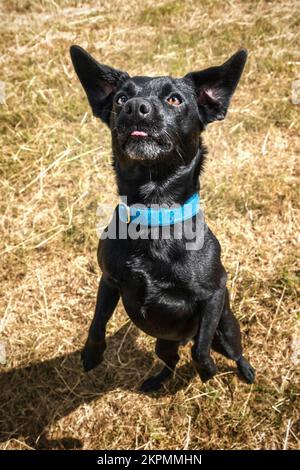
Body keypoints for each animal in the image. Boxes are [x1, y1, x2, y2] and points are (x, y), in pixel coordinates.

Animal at [70, 46, 255, 392]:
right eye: (120, 99)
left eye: (174, 99)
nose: (134, 108)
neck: (154, 213)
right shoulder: (109, 280)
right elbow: (97, 322)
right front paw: (91, 354)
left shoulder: (215, 293)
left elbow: (200, 349)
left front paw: (207, 371)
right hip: (163, 343)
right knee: (171, 360)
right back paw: (156, 382)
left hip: (226, 332)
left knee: (226, 350)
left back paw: (246, 371)